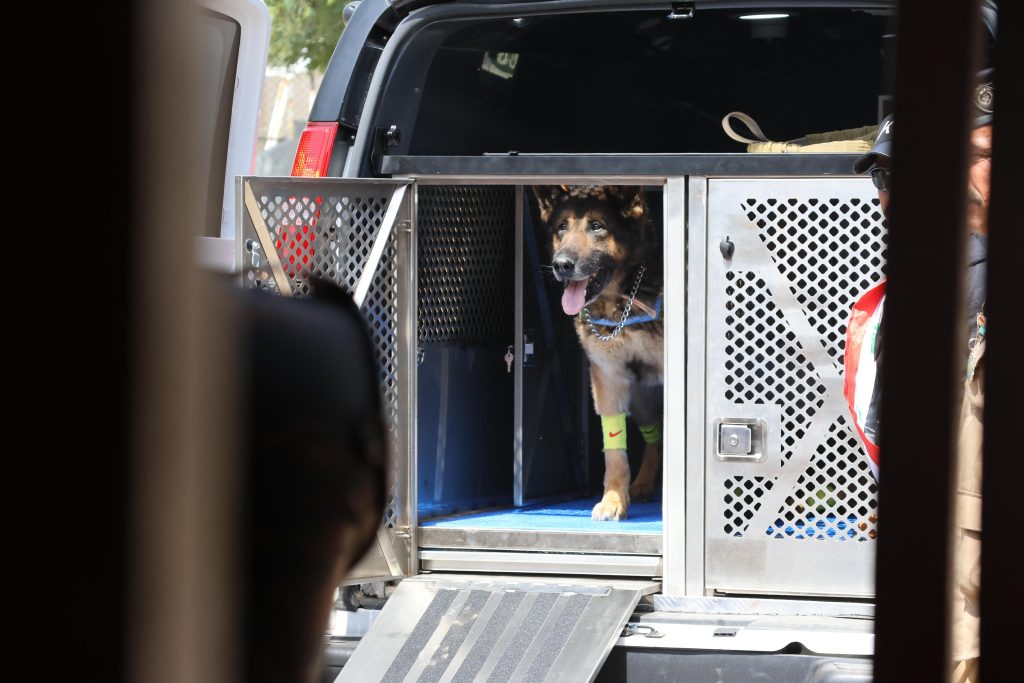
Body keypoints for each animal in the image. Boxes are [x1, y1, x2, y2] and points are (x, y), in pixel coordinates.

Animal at [533, 185, 664, 521]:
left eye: (597, 226)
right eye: (561, 228)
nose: (561, 265)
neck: (621, 300)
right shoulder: (608, 377)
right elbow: (615, 451)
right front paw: (613, 499)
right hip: (641, 399)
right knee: (655, 436)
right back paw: (644, 483)